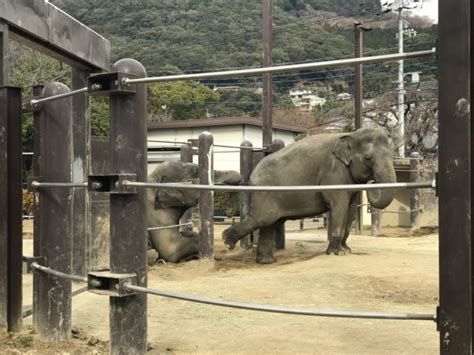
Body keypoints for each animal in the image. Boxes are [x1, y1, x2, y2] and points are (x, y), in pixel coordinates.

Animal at [222, 128, 396, 264]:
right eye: (368, 158)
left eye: (392, 155)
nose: (373, 181)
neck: (350, 134)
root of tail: (252, 175)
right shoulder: (334, 174)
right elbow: (339, 206)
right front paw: (338, 253)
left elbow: (351, 209)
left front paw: (347, 249)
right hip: (264, 193)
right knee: (262, 219)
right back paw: (227, 241)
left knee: (268, 223)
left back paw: (266, 261)